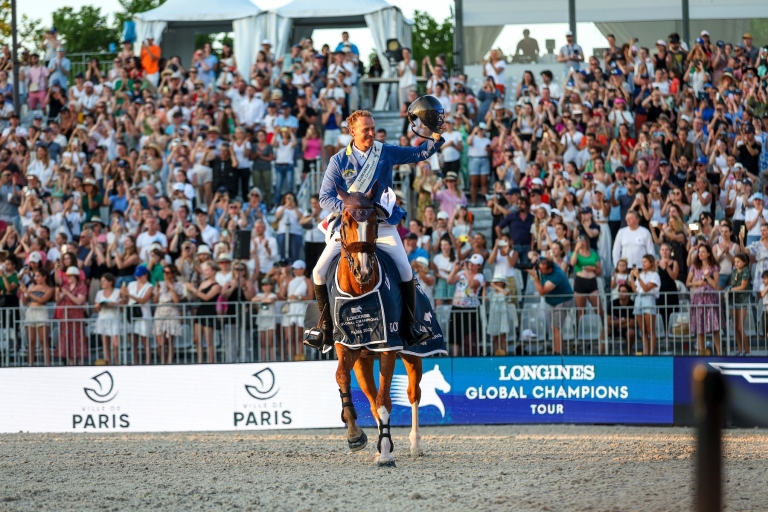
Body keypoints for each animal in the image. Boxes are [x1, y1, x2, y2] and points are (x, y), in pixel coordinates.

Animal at [332, 186, 424, 466]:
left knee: (413, 393)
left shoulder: (388, 347)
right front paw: (355, 435)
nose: (362, 270)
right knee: (372, 400)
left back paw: (415, 444)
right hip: (363, 360)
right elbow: (342, 377)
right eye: (345, 222)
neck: (361, 291)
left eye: (374, 221)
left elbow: (385, 399)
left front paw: (384, 453)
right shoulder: (346, 346)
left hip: (412, 355)